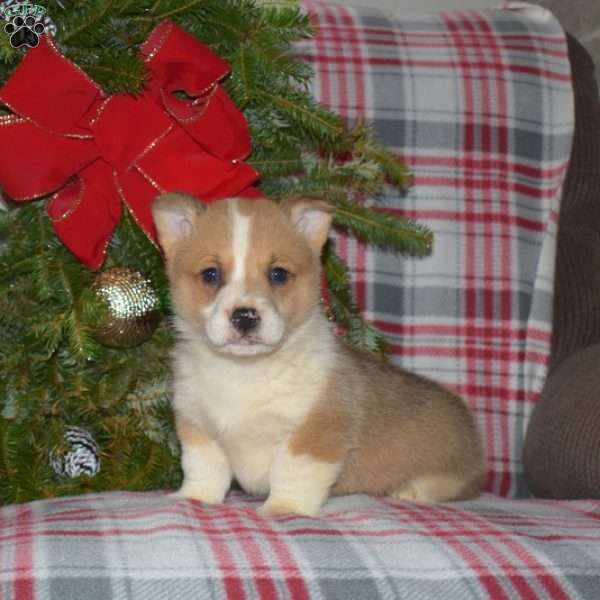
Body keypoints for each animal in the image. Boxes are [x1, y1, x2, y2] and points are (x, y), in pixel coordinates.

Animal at [152, 192, 486, 516]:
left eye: (278, 274)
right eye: (210, 274)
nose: (245, 317)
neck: (244, 370)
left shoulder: (315, 434)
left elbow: (292, 474)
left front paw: (284, 509)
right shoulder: (199, 431)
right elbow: (204, 471)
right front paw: (193, 498)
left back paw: (409, 490)